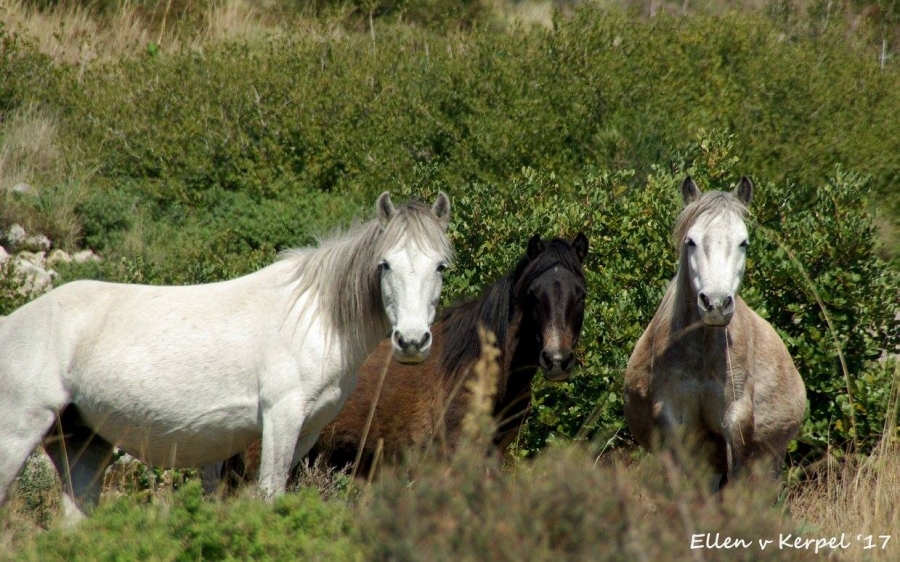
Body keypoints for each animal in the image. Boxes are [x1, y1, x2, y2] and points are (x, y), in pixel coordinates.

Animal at [0, 190, 450, 520]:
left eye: (441, 267)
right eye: (385, 264)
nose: (412, 341)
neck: (315, 317)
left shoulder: (307, 430)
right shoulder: (280, 419)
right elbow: (269, 494)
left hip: (82, 442)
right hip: (18, 434)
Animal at [624, 175, 804, 486]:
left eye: (743, 242)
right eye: (691, 241)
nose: (716, 304)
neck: (704, 352)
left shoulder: (736, 420)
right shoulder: (673, 422)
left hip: (770, 459)